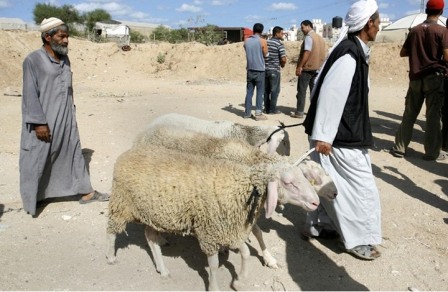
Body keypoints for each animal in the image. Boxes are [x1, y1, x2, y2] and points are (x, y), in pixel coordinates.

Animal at [107, 145, 320, 290]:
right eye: (288, 182)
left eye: (303, 176)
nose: (316, 202)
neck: (241, 187)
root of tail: (126, 154)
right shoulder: (210, 232)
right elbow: (214, 265)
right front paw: (215, 287)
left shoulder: (232, 228)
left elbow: (246, 252)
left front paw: (239, 280)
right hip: (121, 204)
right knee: (111, 231)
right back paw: (110, 257)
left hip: (155, 213)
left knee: (150, 238)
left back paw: (163, 269)